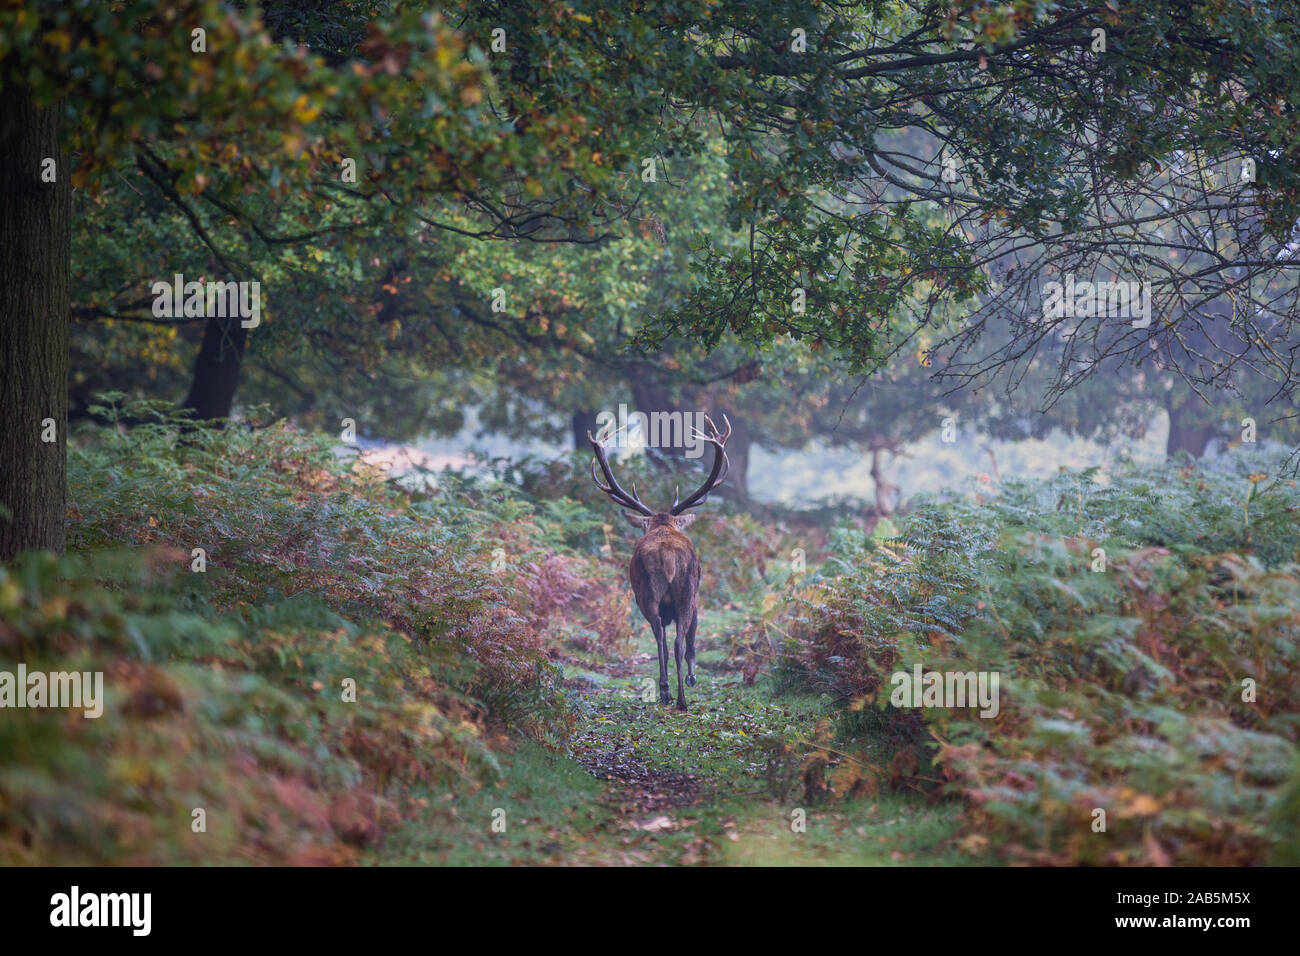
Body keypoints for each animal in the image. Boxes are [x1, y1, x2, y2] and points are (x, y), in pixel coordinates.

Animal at [588, 414, 731, 711]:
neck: (664, 525)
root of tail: (666, 555)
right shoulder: (697, 600)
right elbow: (690, 640)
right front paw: (691, 677)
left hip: (650, 596)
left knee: (662, 638)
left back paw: (670, 694)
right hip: (681, 593)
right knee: (674, 641)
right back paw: (676, 696)